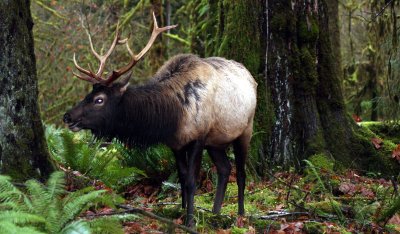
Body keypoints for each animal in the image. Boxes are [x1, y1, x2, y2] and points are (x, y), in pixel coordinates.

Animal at [62, 12, 256, 227]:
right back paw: (215, 213)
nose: (67, 116)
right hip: (216, 142)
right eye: (88, 94)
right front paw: (181, 212)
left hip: (245, 129)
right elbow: (181, 178)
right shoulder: (176, 144)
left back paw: (240, 214)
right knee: (224, 169)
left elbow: (191, 181)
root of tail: (251, 77)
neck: (172, 117)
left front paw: (190, 221)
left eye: (99, 99)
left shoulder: (198, 138)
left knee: (240, 173)